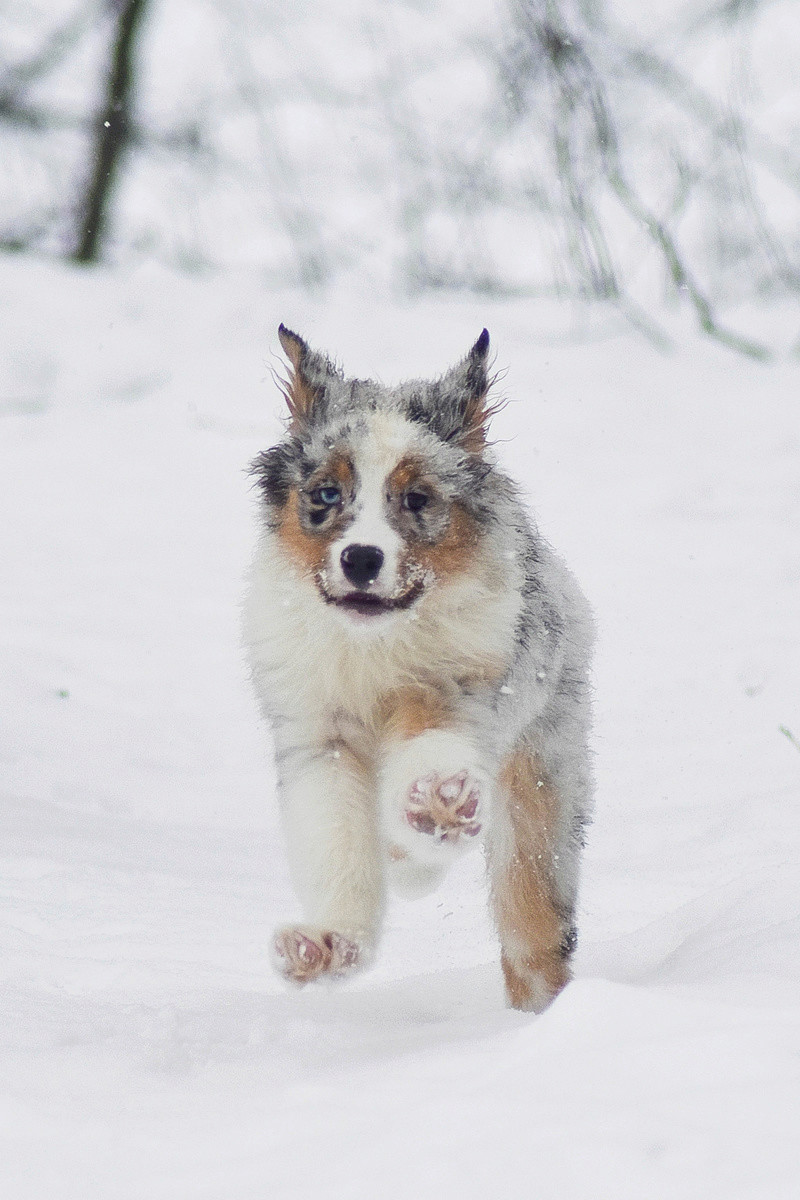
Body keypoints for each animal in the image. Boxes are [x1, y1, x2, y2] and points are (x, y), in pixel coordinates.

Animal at [244, 324, 594, 1008]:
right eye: (327, 494)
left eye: (416, 498)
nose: (360, 558)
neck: (372, 649)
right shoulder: (317, 734)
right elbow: (335, 839)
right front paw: (327, 946)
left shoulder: (455, 692)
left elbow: (431, 753)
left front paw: (437, 802)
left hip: (541, 773)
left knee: (532, 921)